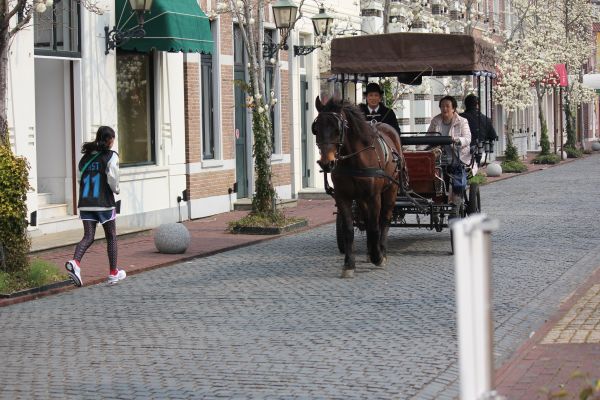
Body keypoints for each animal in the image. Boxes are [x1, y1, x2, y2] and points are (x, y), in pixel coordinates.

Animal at [314, 97, 404, 278]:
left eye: (337, 129)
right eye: (316, 129)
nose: (327, 163)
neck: (354, 160)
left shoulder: (374, 197)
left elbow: (375, 227)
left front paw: (378, 257)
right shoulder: (343, 197)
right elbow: (349, 230)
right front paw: (349, 264)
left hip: (390, 191)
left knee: (384, 219)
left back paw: (381, 251)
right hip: (362, 198)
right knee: (367, 220)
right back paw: (371, 250)